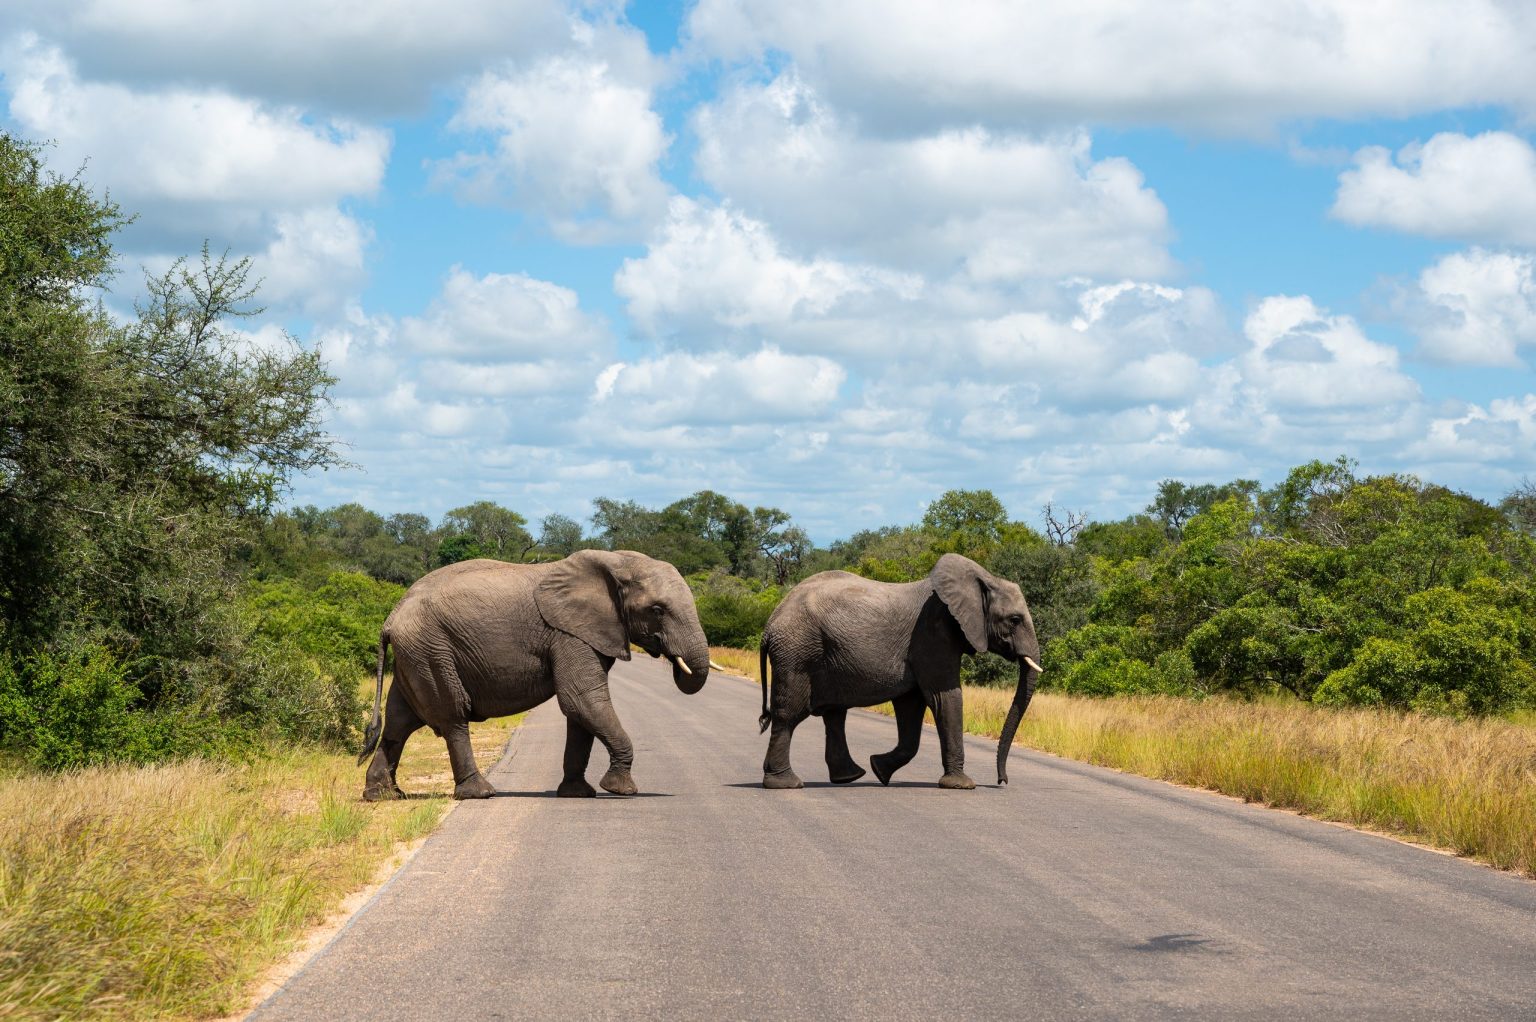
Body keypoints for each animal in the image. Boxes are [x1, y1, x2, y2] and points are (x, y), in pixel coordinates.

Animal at [357, 550, 710, 800]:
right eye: (657, 610)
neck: (615, 561)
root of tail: (390, 618)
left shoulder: (583, 633)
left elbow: (580, 712)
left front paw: (578, 794)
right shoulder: (568, 634)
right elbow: (581, 700)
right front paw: (620, 789)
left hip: (415, 655)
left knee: (399, 722)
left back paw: (383, 796)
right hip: (432, 650)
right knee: (452, 715)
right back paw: (480, 793)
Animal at [757, 553, 1041, 790]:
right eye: (1015, 620)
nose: (1001, 781)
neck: (983, 579)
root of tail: (769, 626)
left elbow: (911, 707)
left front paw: (880, 770)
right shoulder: (933, 634)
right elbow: (945, 698)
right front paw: (962, 785)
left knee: (834, 715)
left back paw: (849, 777)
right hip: (797, 654)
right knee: (788, 715)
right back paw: (785, 784)